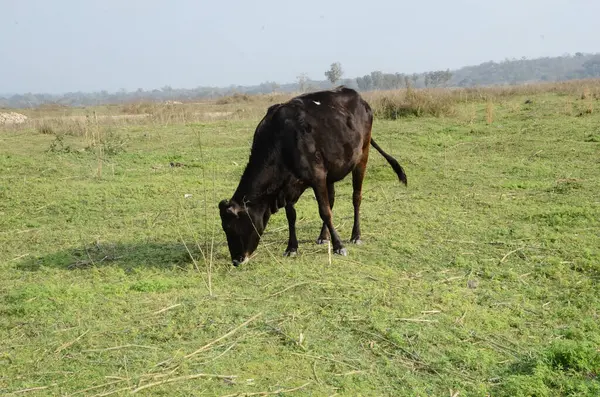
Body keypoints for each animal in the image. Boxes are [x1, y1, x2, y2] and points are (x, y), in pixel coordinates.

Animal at [218, 86, 406, 266]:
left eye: (233, 227)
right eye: (225, 228)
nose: (236, 260)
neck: (281, 140)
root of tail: (360, 99)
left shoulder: (317, 176)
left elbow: (325, 212)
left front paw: (339, 246)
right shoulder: (289, 186)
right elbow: (292, 215)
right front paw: (292, 247)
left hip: (362, 157)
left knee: (356, 198)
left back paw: (356, 236)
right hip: (331, 172)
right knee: (332, 199)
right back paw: (323, 236)